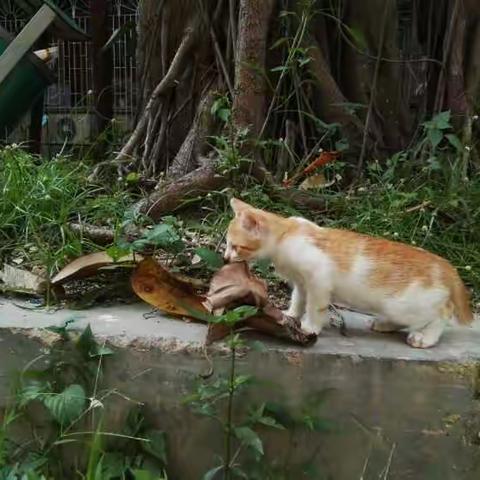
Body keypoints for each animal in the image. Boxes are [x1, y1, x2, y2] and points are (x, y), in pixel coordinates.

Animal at [225, 198, 472, 348]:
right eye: (227, 245)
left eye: (236, 246)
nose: (226, 258)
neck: (287, 233)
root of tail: (445, 265)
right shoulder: (302, 283)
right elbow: (298, 299)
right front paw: (291, 314)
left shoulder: (318, 279)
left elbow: (314, 306)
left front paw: (309, 326)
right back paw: (385, 324)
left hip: (407, 305)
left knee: (443, 314)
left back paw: (425, 337)